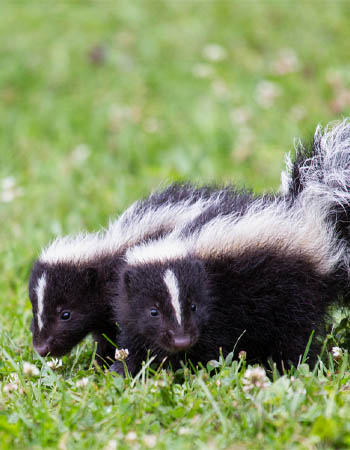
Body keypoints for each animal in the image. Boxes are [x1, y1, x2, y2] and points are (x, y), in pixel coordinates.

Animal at [110, 120, 350, 376]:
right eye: (153, 311)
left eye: (194, 306)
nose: (181, 340)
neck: (182, 240)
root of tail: (312, 213)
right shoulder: (131, 309)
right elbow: (134, 340)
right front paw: (122, 369)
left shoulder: (221, 305)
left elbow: (213, 346)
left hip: (295, 294)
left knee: (296, 336)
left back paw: (290, 367)